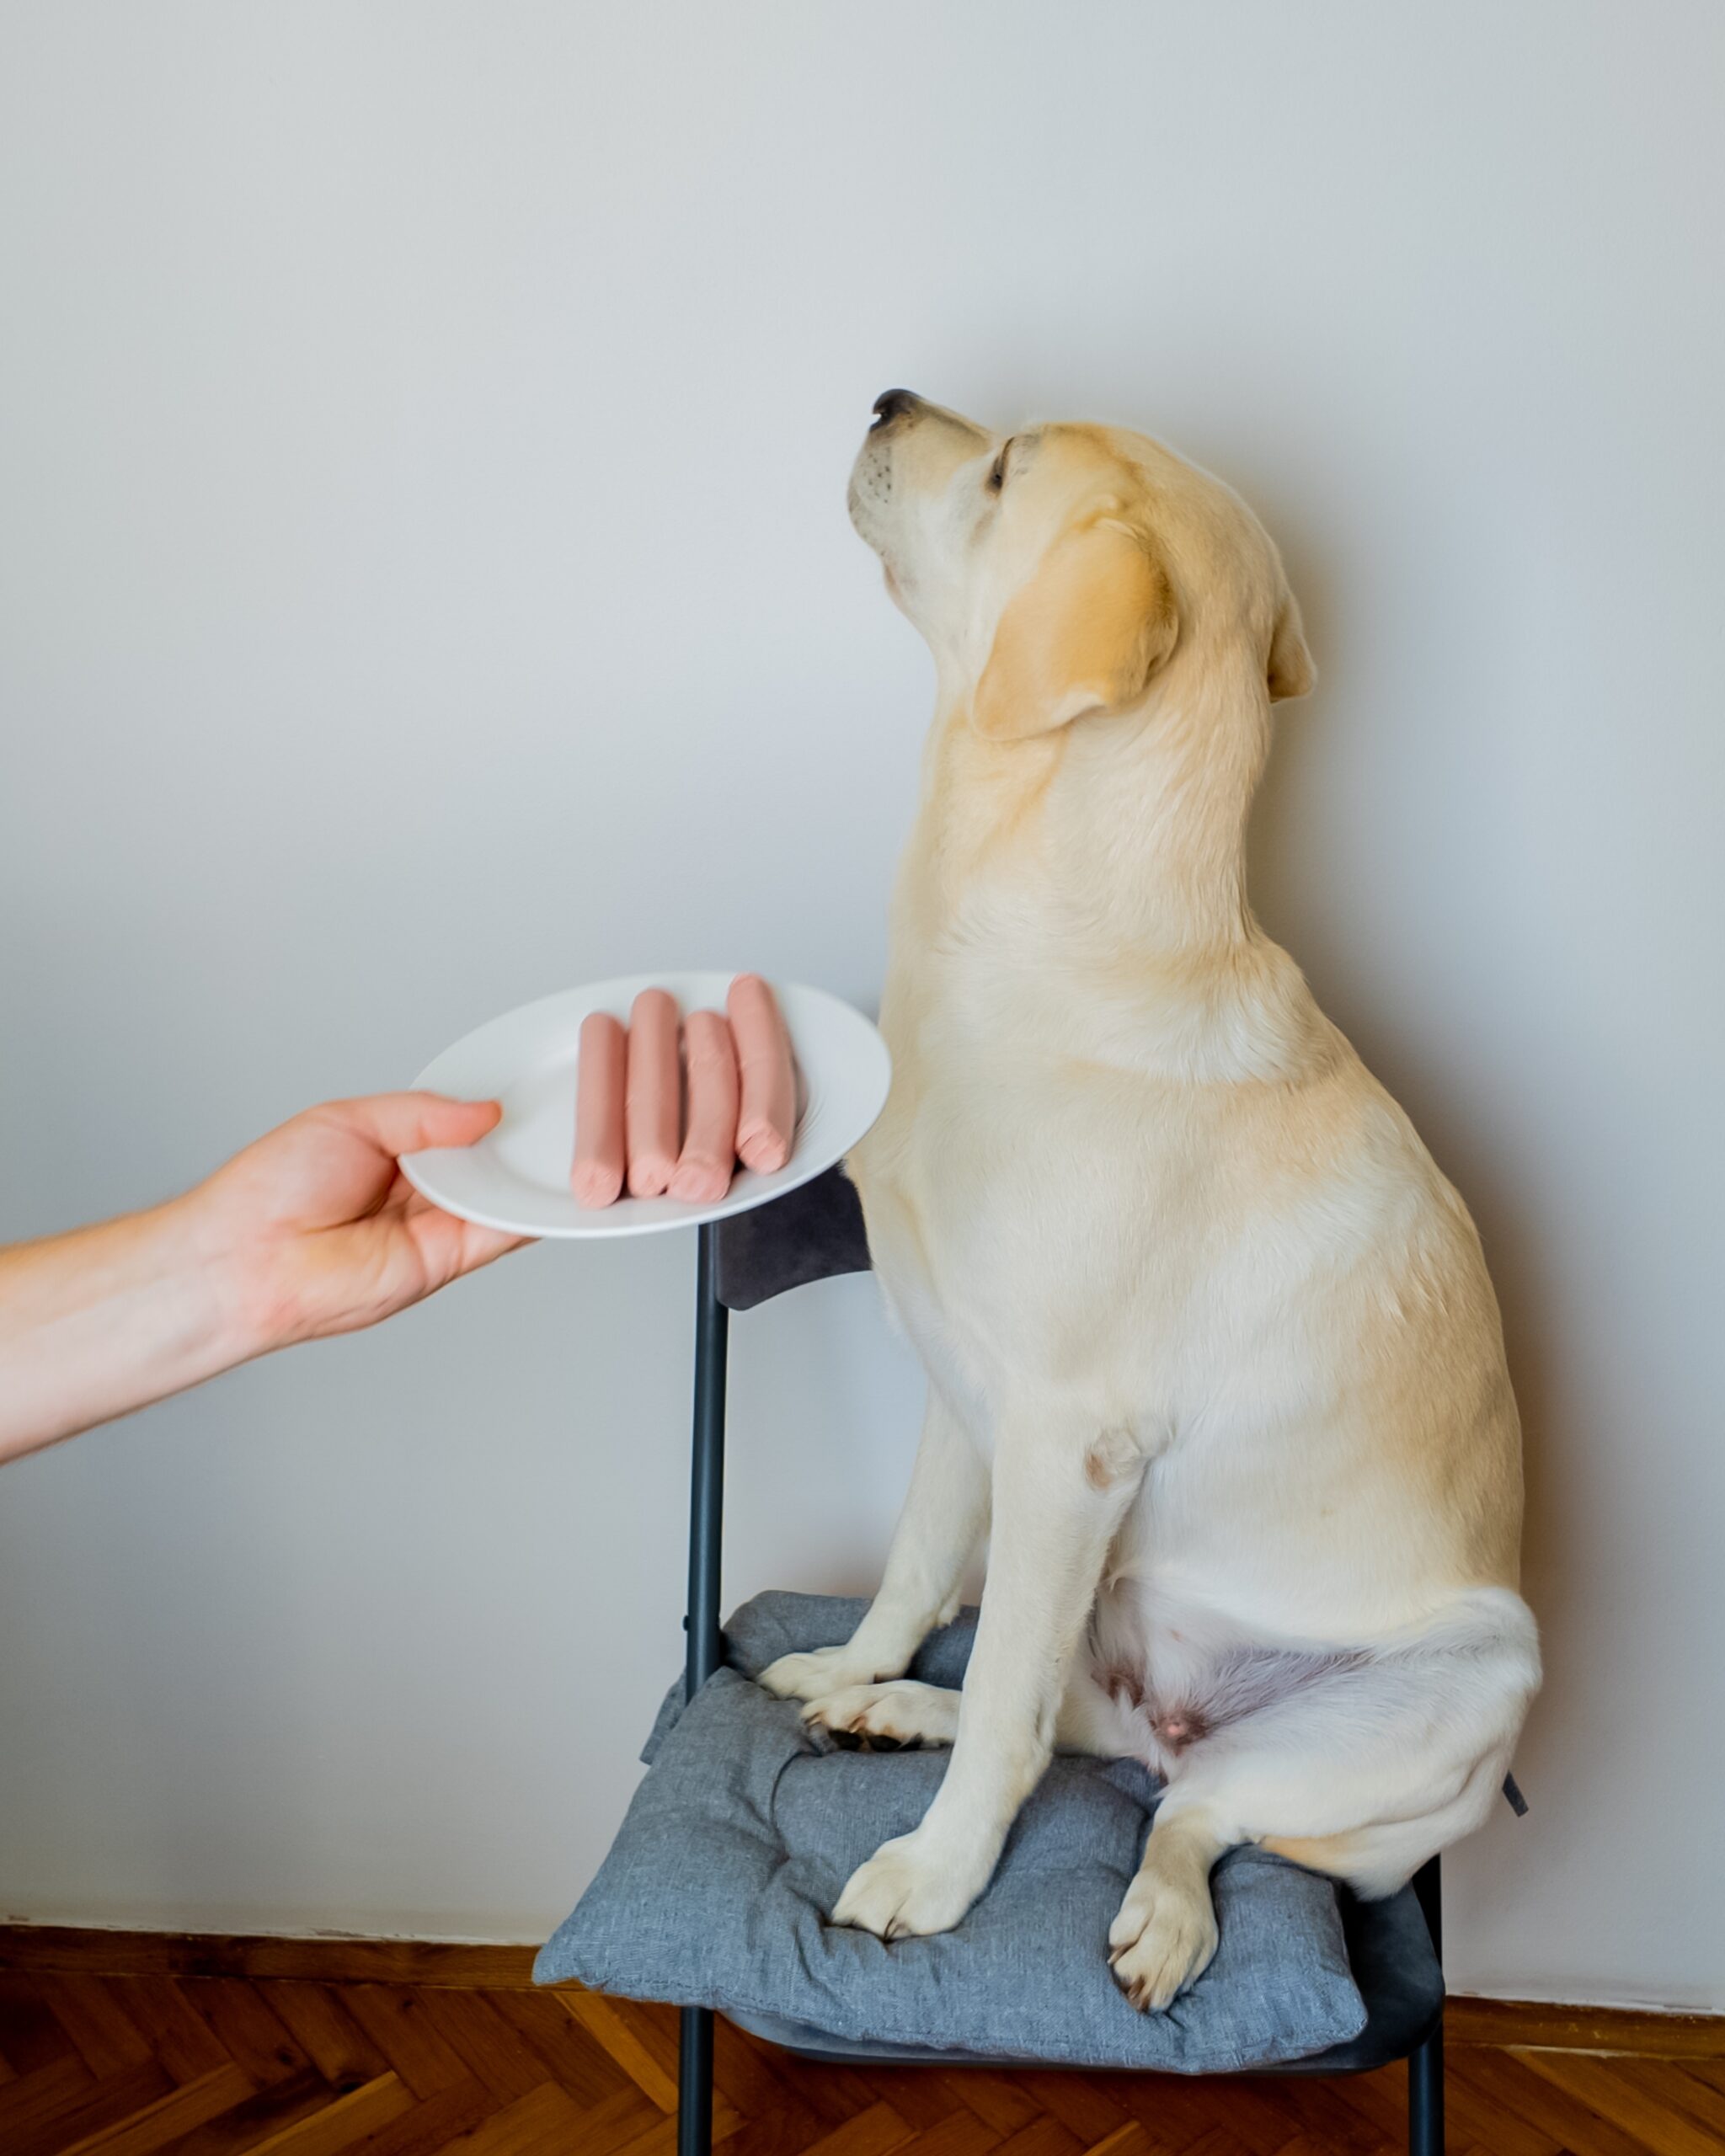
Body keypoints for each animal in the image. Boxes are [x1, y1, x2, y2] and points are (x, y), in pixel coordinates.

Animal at [763, 397, 1543, 2009]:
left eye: (1003, 469)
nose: (883, 401)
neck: (1041, 946)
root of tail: (1191, 1717)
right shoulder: (959, 1388)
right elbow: (919, 1573)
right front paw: (861, 1667)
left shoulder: (1067, 1446)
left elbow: (1002, 1694)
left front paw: (934, 1878)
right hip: (1112, 1603)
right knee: (1099, 1736)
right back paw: (890, 1710)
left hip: (1458, 1694)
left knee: (1186, 1811)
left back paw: (1160, 1919)